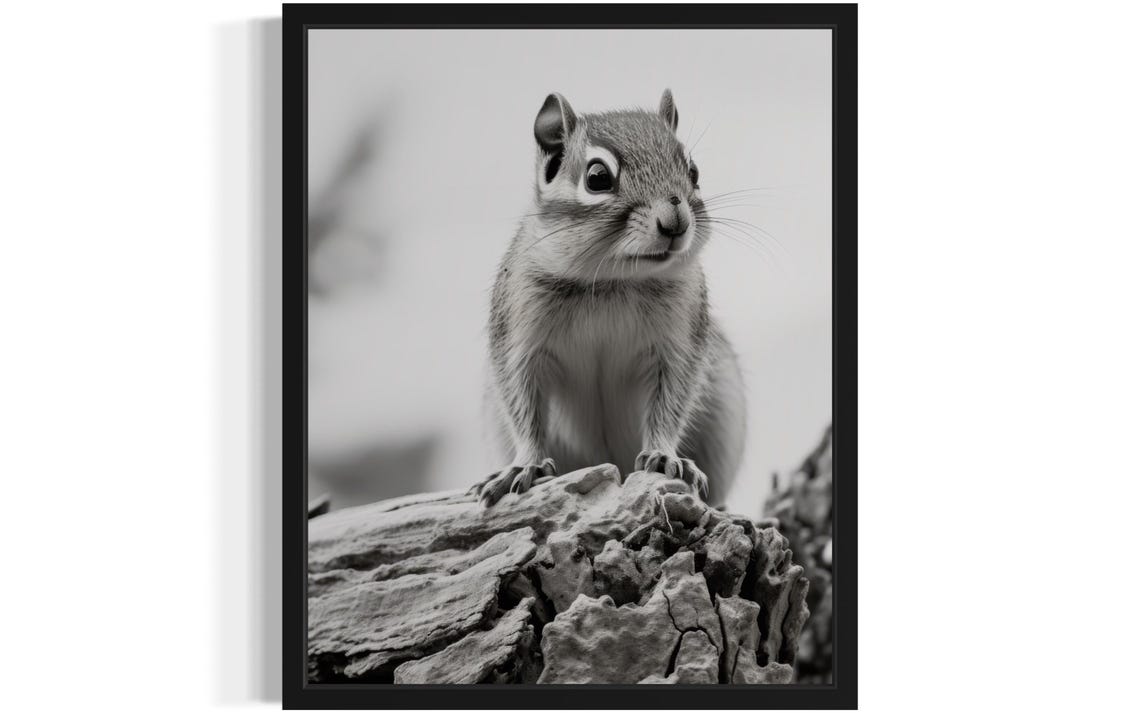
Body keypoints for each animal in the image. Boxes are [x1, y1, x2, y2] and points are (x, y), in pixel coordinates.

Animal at [474, 90, 745, 507]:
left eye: (694, 172)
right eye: (598, 178)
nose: (676, 220)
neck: (612, 281)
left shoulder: (680, 341)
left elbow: (671, 404)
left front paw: (665, 455)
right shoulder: (519, 334)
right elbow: (522, 404)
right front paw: (526, 464)